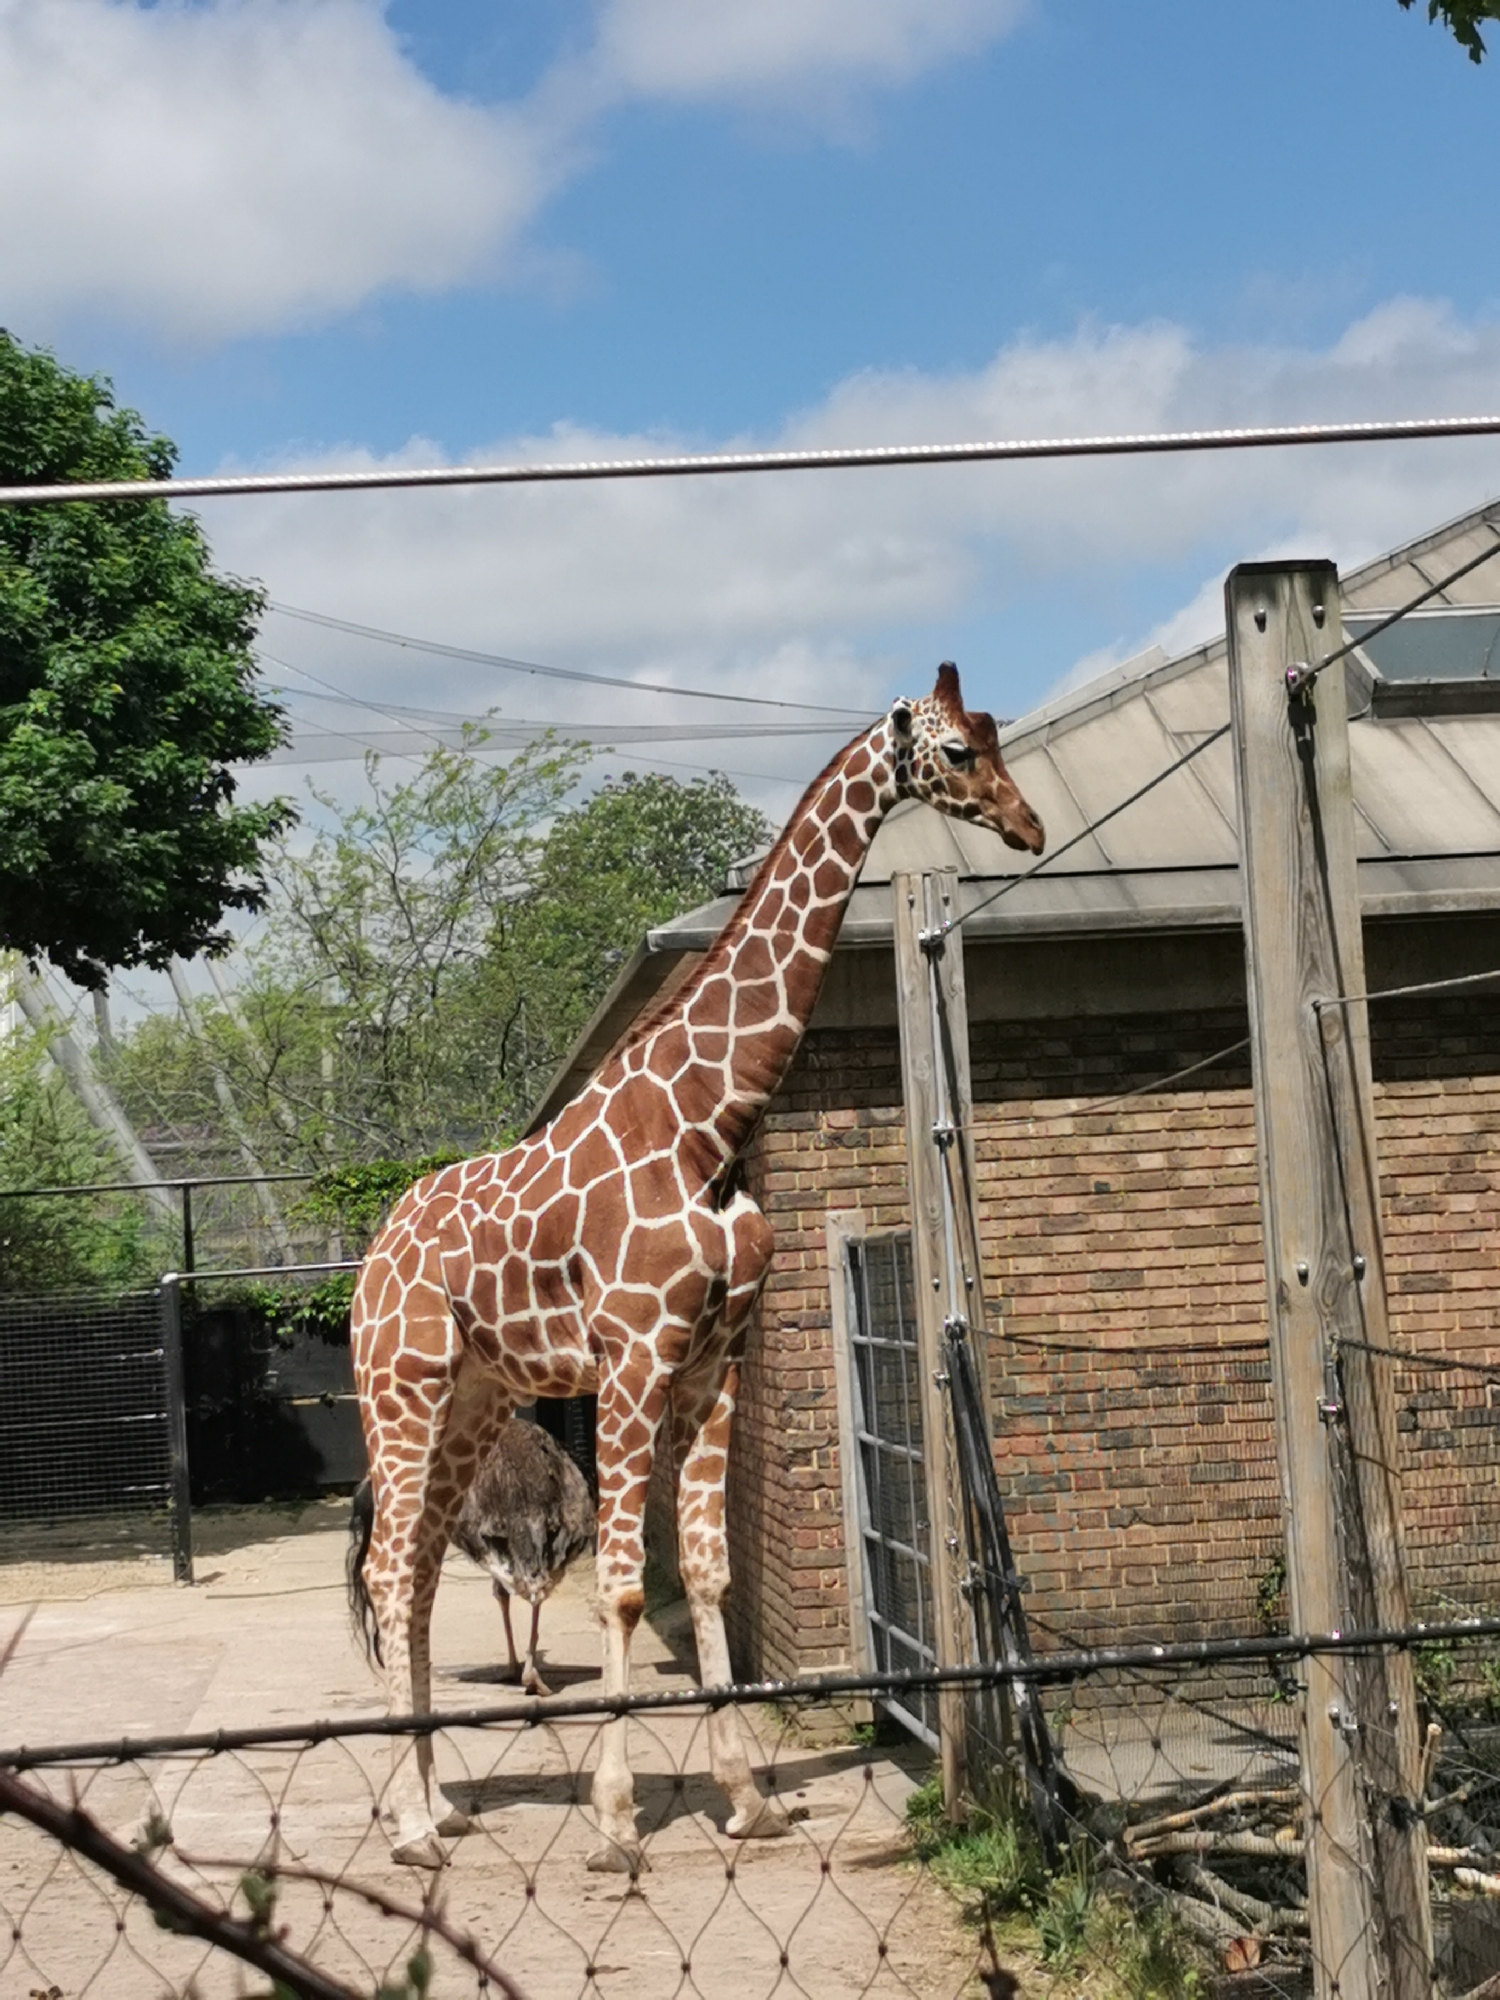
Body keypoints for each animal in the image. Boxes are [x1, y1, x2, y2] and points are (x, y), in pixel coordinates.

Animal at [349, 661, 1045, 1871]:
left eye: (995, 734)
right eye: (958, 750)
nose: (1029, 826)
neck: (708, 1128)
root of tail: (369, 1258)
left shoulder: (719, 1354)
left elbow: (711, 1568)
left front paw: (748, 1796)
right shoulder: (635, 1357)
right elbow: (625, 1589)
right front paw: (619, 1817)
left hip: (477, 1401)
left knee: (425, 1571)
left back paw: (439, 1802)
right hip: (400, 1388)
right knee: (392, 1570)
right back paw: (412, 1827)